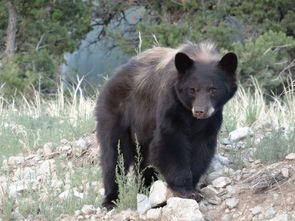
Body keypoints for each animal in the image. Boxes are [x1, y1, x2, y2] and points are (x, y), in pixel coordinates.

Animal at [96, 42, 239, 210]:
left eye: (213, 89)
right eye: (192, 90)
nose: (200, 111)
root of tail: (112, 78)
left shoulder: (211, 119)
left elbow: (202, 147)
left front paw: (194, 185)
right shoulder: (170, 103)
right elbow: (169, 142)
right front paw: (186, 190)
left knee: (145, 159)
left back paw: (146, 187)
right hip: (116, 113)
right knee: (115, 154)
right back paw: (111, 198)